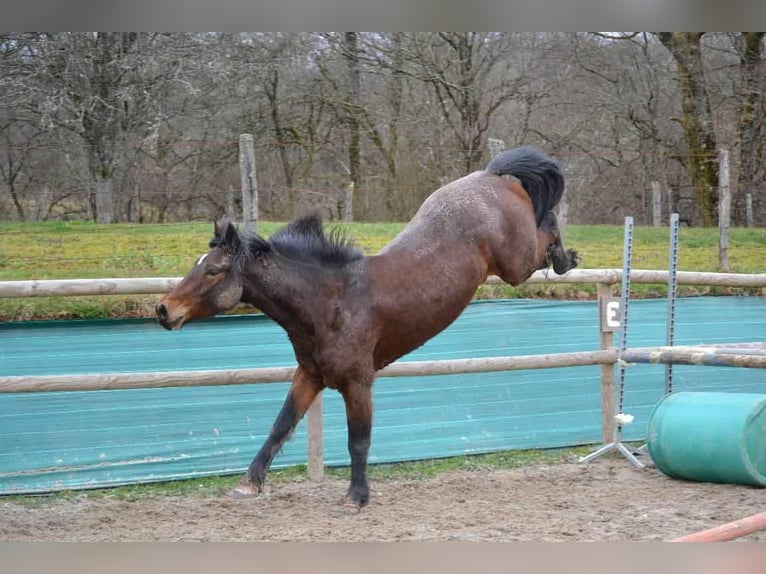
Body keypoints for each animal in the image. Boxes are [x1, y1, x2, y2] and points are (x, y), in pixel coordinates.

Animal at [156, 146, 579, 508]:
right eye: (198, 265)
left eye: (213, 270)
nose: (163, 310)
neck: (332, 301)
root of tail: (492, 175)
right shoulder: (309, 376)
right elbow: (281, 424)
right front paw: (249, 483)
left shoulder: (358, 383)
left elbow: (358, 441)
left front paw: (356, 497)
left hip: (516, 265)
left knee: (546, 228)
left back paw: (565, 257)